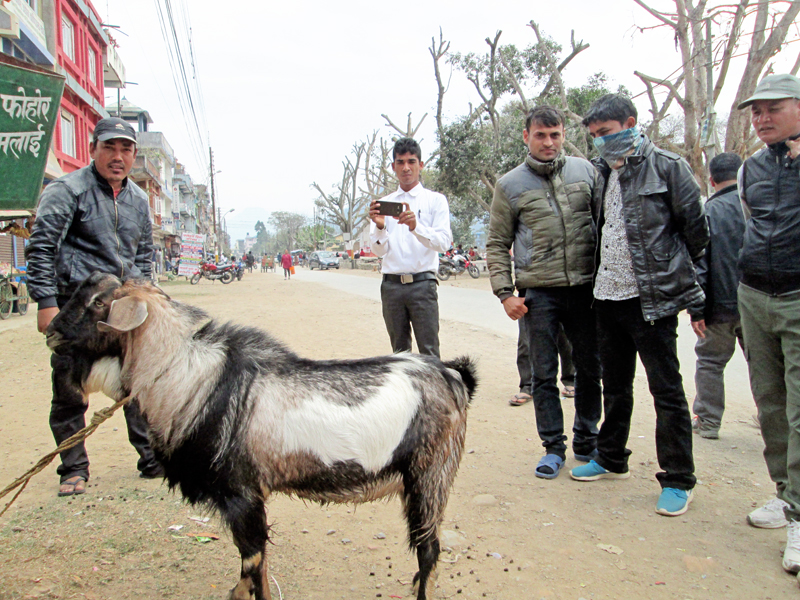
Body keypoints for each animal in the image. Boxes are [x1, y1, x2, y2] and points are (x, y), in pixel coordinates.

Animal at [45, 274, 476, 600]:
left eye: (97, 303)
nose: (49, 331)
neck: (191, 379)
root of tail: (452, 376)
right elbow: (258, 568)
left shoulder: (242, 495)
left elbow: (250, 567)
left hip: (430, 474)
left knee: (428, 548)